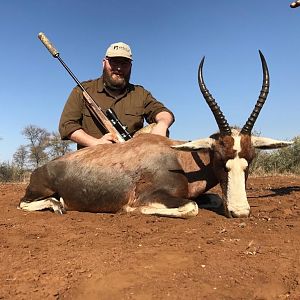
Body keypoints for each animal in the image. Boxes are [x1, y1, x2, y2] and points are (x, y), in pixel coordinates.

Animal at [18, 51, 290, 218]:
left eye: (250, 160)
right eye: (221, 159)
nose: (240, 212)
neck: (178, 158)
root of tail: (40, 169)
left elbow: (211, 199)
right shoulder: (155, 195)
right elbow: (191, 207)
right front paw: (130, 210)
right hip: (37, 192)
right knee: (24, 203)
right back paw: (57, 205)